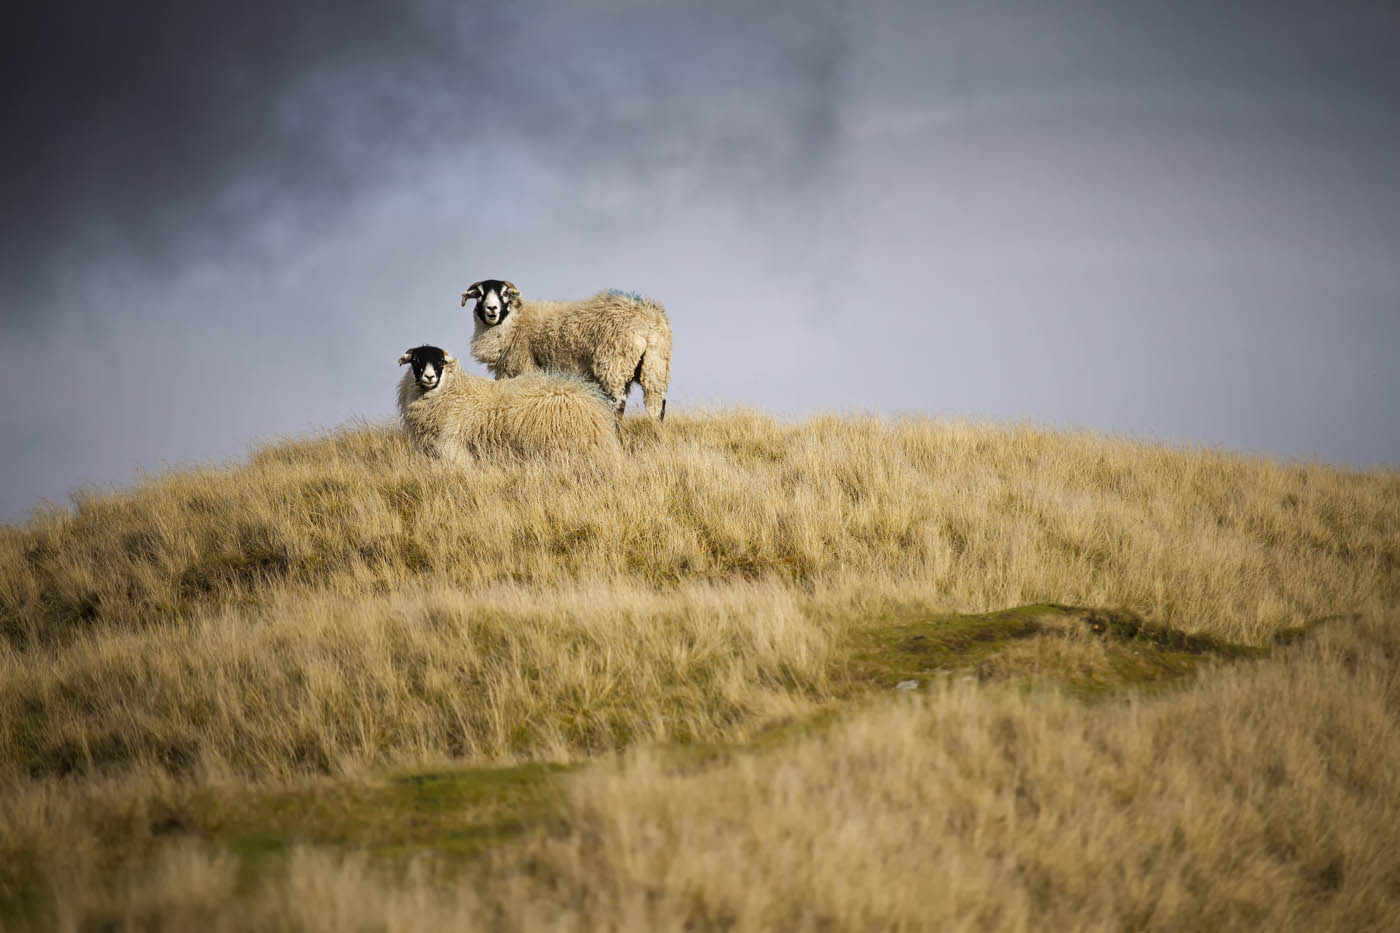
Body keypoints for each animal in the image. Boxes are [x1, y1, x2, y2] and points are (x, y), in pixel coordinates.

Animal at [460, 279, 672, 422]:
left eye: (505, 293)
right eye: (479, 294)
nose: (492, 309)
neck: (514, 325)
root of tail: (647, 318)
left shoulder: (524, 370)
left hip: (614, 365)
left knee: (617, 405)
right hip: (656, 365)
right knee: (656, 406)